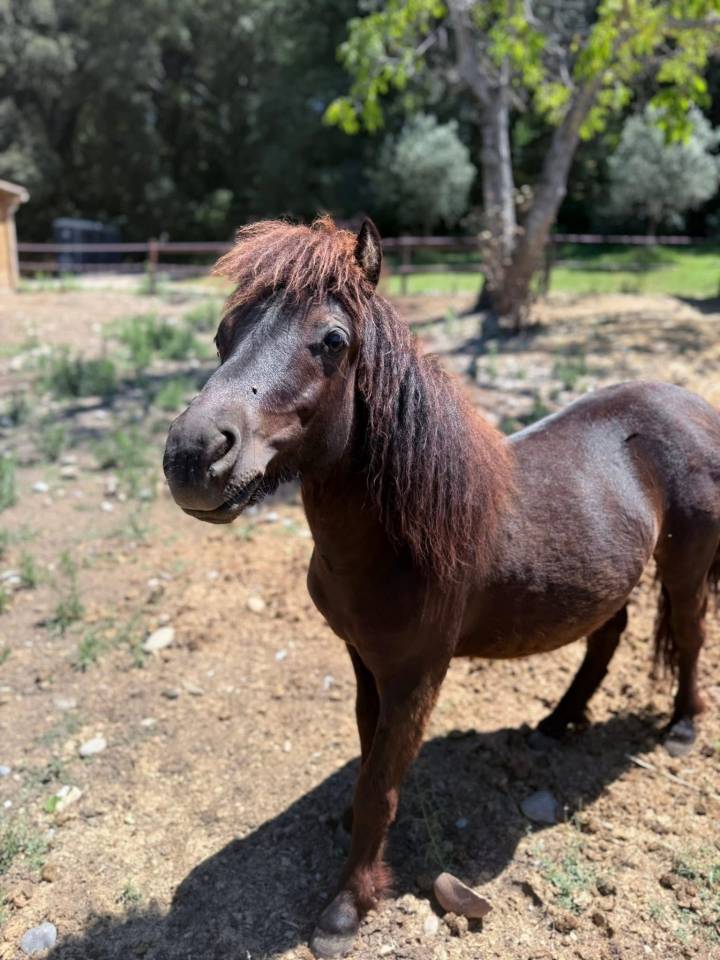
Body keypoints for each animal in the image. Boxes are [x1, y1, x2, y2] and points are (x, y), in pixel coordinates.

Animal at [163, 216, 720, 958]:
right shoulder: (365, 662)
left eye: (332, 341)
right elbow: (369, 757)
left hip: (685, 566)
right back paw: (558, 721)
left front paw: (346, 908)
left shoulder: (417, 675)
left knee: (688, 635)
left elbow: (381, 786)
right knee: (608, 636)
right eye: (224, 333)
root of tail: (693, 405)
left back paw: (682, 728)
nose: (193, 457)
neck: (399, 536)